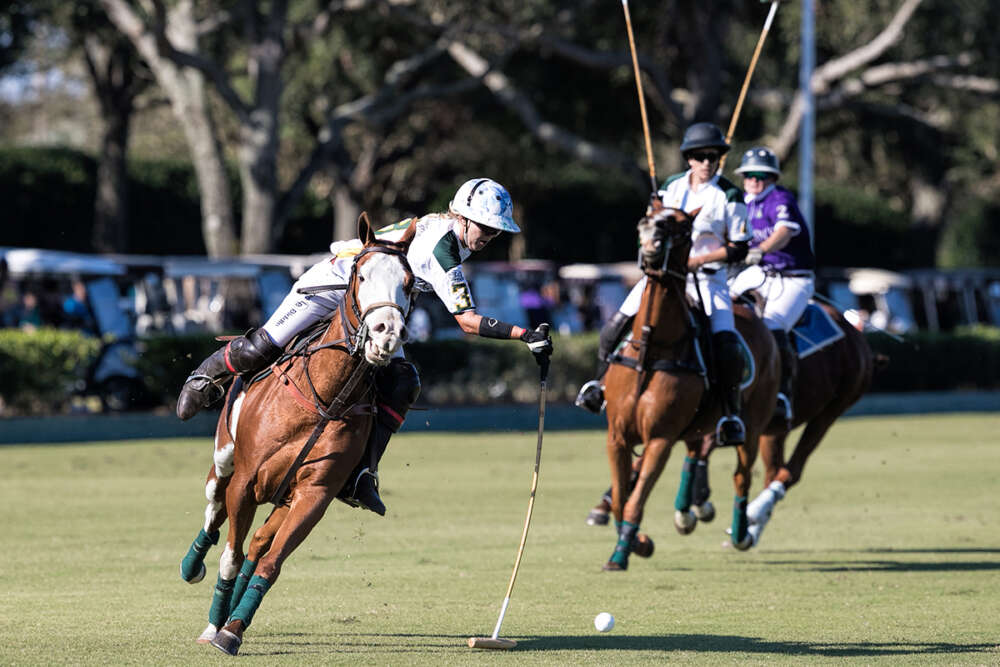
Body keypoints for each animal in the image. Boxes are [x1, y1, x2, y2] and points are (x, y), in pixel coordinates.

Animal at [179, 215, 414, 656]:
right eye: (360, 274)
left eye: (409, 283)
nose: (387, 334)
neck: (327, 396)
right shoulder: (246, 481)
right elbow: (230, 555)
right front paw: (215, 626)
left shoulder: (314, 494)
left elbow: (270, 562)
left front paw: (233, 630)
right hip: (225, 458)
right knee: (214, 509)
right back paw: (193, 567)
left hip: (283, 496)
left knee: (258, 542)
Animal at [600, 206, 780, 572]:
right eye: (646, 218)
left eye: (682, 227)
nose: (651, 243)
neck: (653, 348)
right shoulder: (617, 437)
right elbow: (622, 497)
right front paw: (639, 543)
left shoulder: (660, 438)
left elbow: (635, 500)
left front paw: (622, 553)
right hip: (698, 425)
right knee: (695, 456)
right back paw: (687, 514)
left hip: (752, 427)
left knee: (741, 477)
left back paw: (741, 534)